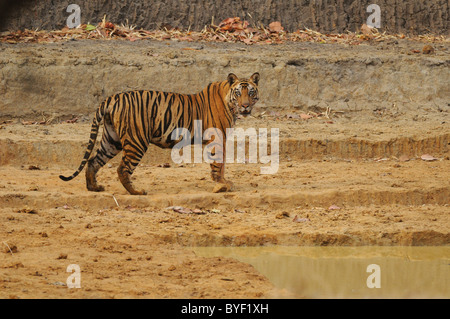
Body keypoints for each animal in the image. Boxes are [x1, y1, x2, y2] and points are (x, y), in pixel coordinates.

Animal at [59, 73, 260, 195]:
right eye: (238, 93)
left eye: (251, 92)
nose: (245, 106)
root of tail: (111, 98)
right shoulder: (217, 138)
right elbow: (218, 164)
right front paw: (221, 186)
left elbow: (223, 163)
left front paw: (224, 182)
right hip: (136, 141)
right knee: (122, 168)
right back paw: (137, 192)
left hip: (111, 140)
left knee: (93, 161)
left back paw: (94, 187)